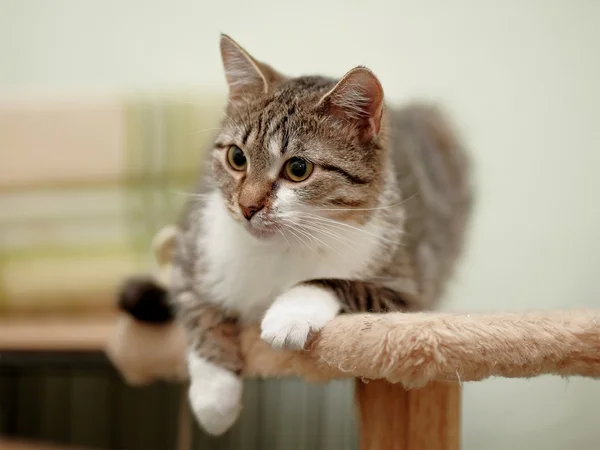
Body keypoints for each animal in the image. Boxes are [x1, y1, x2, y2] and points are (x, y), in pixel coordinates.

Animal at [118, 34, 474, 436]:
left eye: (298, 169)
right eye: (237, 158)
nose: (247, 206)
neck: (280, 248)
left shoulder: (408, 294)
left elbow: (337, 282)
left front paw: (289, 313)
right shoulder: (191, 253)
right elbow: (199, 311)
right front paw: (214, 394)